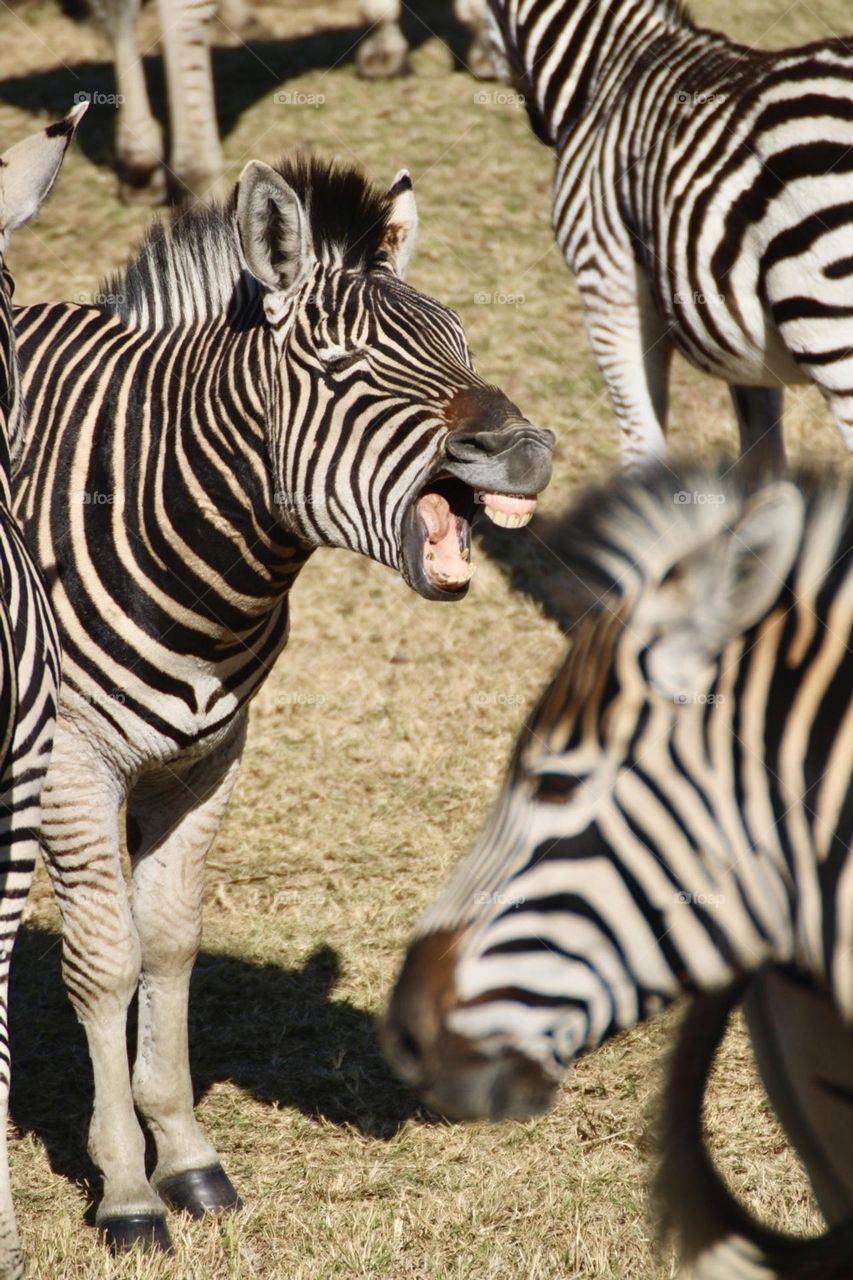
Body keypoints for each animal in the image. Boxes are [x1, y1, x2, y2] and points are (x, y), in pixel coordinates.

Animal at [13, 149, 555, 1249]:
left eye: (462, 343)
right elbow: (104, 959)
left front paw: (188, 1158)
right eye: (345, 367)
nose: (525, 452)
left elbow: (170, 942)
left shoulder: (211, 751)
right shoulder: (73, 761)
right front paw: (126, 1189)